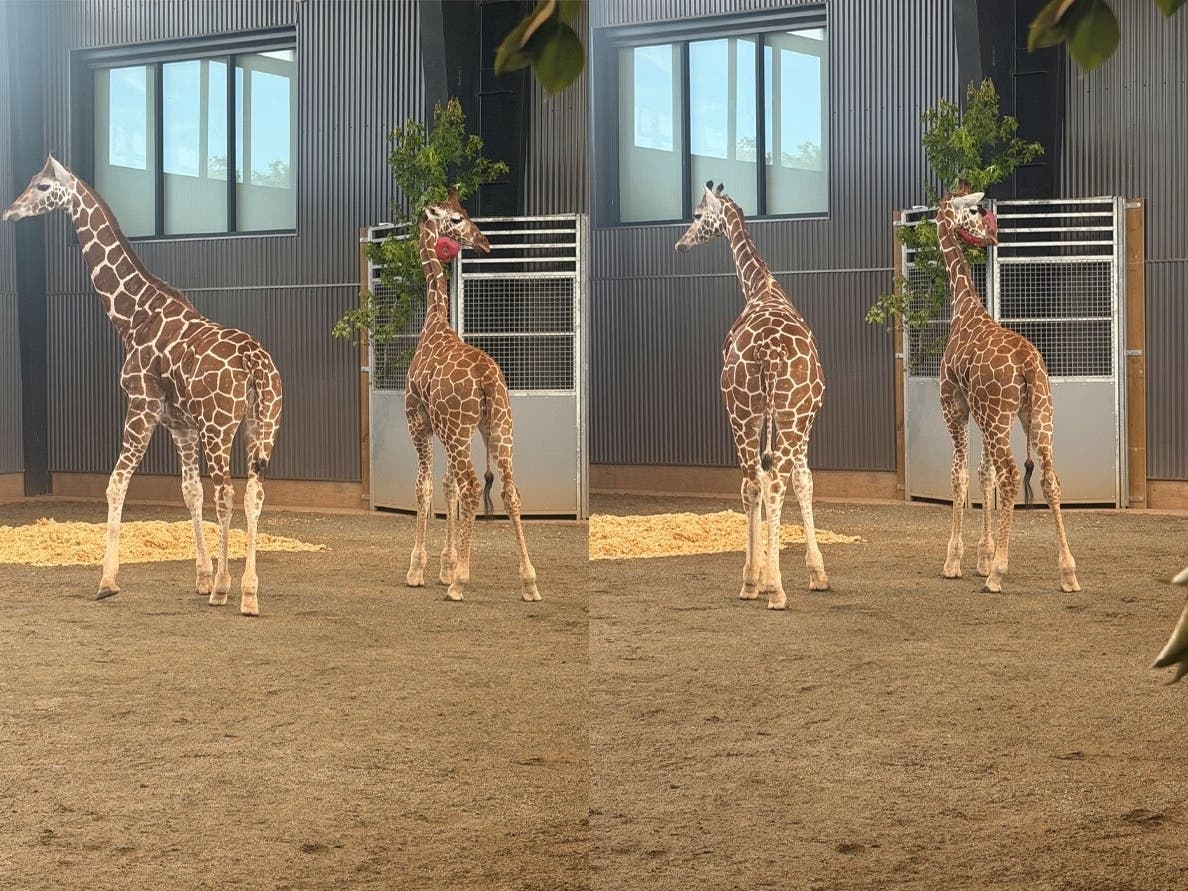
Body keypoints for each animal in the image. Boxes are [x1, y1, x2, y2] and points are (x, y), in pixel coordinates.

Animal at [2, 156, 283, 616]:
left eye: (42, 186)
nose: (10, 212)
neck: (134, 316)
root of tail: (255, 363)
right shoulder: (179, 424)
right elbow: (190, 492)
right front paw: (201, 577)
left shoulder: (141, 405)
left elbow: (117, 483)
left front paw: (107, 581)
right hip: (263, 425)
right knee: (253, 493)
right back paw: (249, 592)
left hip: (220, 427)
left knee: (228, 492)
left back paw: (227, 588)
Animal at [403, 190, 540, 603]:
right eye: (457, 218)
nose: (484, 242)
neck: (434, 323)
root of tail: (488, 380)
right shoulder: (444, 430)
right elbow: (447, 486)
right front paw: (445, 565)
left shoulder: (419, 422)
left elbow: (426, 486)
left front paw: (421, 569)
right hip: (498, 427)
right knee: (509, 489)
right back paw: (529, 582)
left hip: (459, 429)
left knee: (474, 485)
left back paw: (460, 583)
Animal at [675, 182, 829, 610]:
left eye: (697, 214)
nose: (680, 243)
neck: (762, 287)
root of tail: (767, 352)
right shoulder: (800, 418)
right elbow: (802, 480)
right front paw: (815, 573)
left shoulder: (786, 418)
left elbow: (795, 480)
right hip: (769, 413)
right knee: (767, 482)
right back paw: (768, 585)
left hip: (747, 412)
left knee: (755, 482)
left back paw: (755, 582)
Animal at [935, 184, 1079, 595]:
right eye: (975, 211)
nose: (992, 236)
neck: (964, 306)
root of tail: (1027, 364)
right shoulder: (980, 413)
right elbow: (985, 474)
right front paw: (982, 557)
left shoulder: (954, 405)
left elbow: (960, 476)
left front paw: (957, 561)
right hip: (1038, 414)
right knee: (1050, 478)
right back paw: (1068, 573)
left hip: (1001, 416)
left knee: (1014, 475)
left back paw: (999, 573)